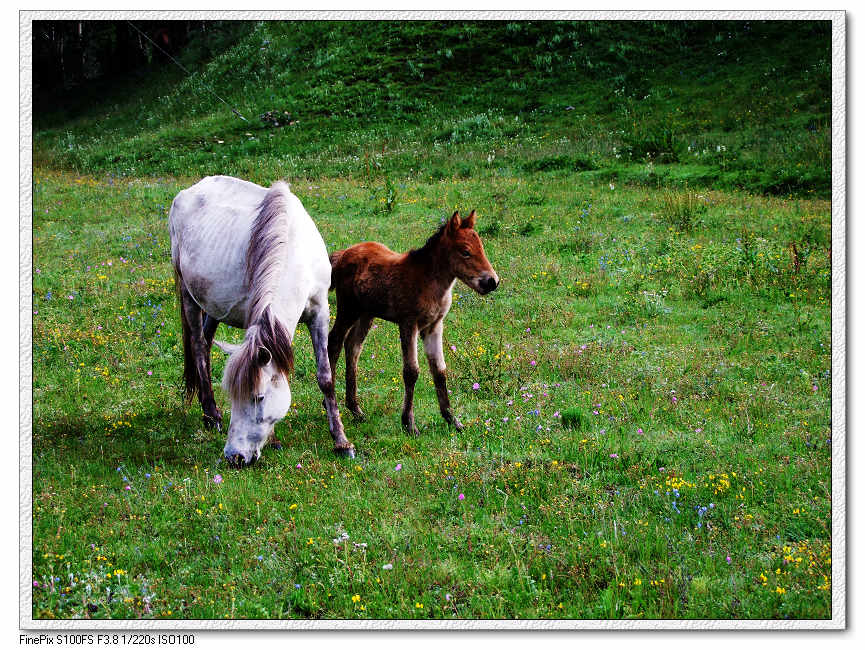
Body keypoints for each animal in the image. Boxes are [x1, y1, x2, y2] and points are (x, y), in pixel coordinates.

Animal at [169, 175, 354, 464]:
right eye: (233, 396)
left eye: (259, 397)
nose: (234, 457)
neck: (293, 247)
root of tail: (189, 191)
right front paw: (275, 440)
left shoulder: (320, 312)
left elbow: (325, 376)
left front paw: (341, 441)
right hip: (189, 295)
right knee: (198, 346)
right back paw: (211, 414)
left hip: (213, 304)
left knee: (206, 343)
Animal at [326, 210, 500, 432]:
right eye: (466, 252)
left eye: (482, 248)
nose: (492, 282)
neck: (429, 282)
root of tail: (342, 254)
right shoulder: (409, 324)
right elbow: (411, 371)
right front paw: (409, 423)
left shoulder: (434, 327)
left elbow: (439, 370)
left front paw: (452, 419)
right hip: (348, 309)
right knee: (334, 342)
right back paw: (330, 404)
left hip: (366, 314)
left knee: (353, 346)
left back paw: (355, 409)